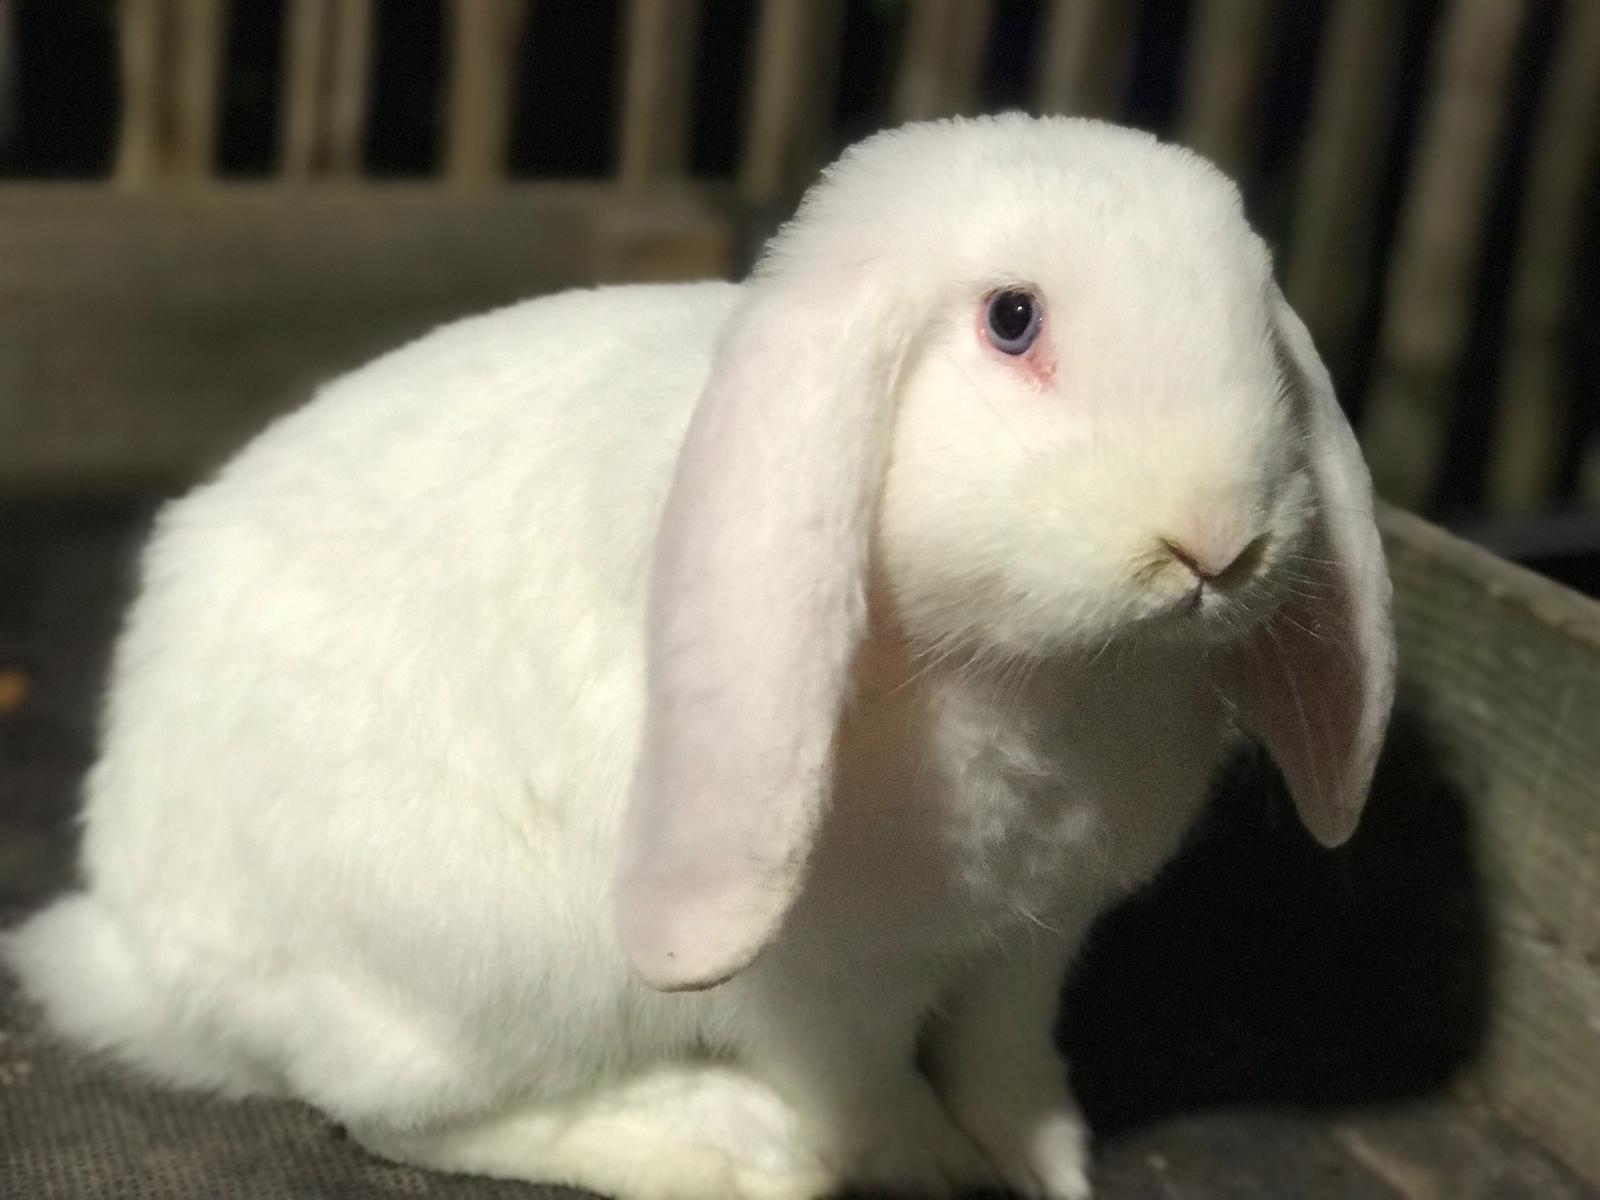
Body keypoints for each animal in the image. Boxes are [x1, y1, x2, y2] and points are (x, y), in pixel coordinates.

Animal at [5, 113, 1395, 1200]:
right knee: (404, 1114)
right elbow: (872, 1095)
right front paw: (924, 1169)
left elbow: (1006, 1065)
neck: (1041, 680)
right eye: (1012, 320)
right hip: (480, 969)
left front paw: (1043, 1166)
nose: (1217, 544)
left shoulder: (1029, 945)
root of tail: (140, 946)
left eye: (1257, 325)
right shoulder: (825, 990)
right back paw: (727, 1147)